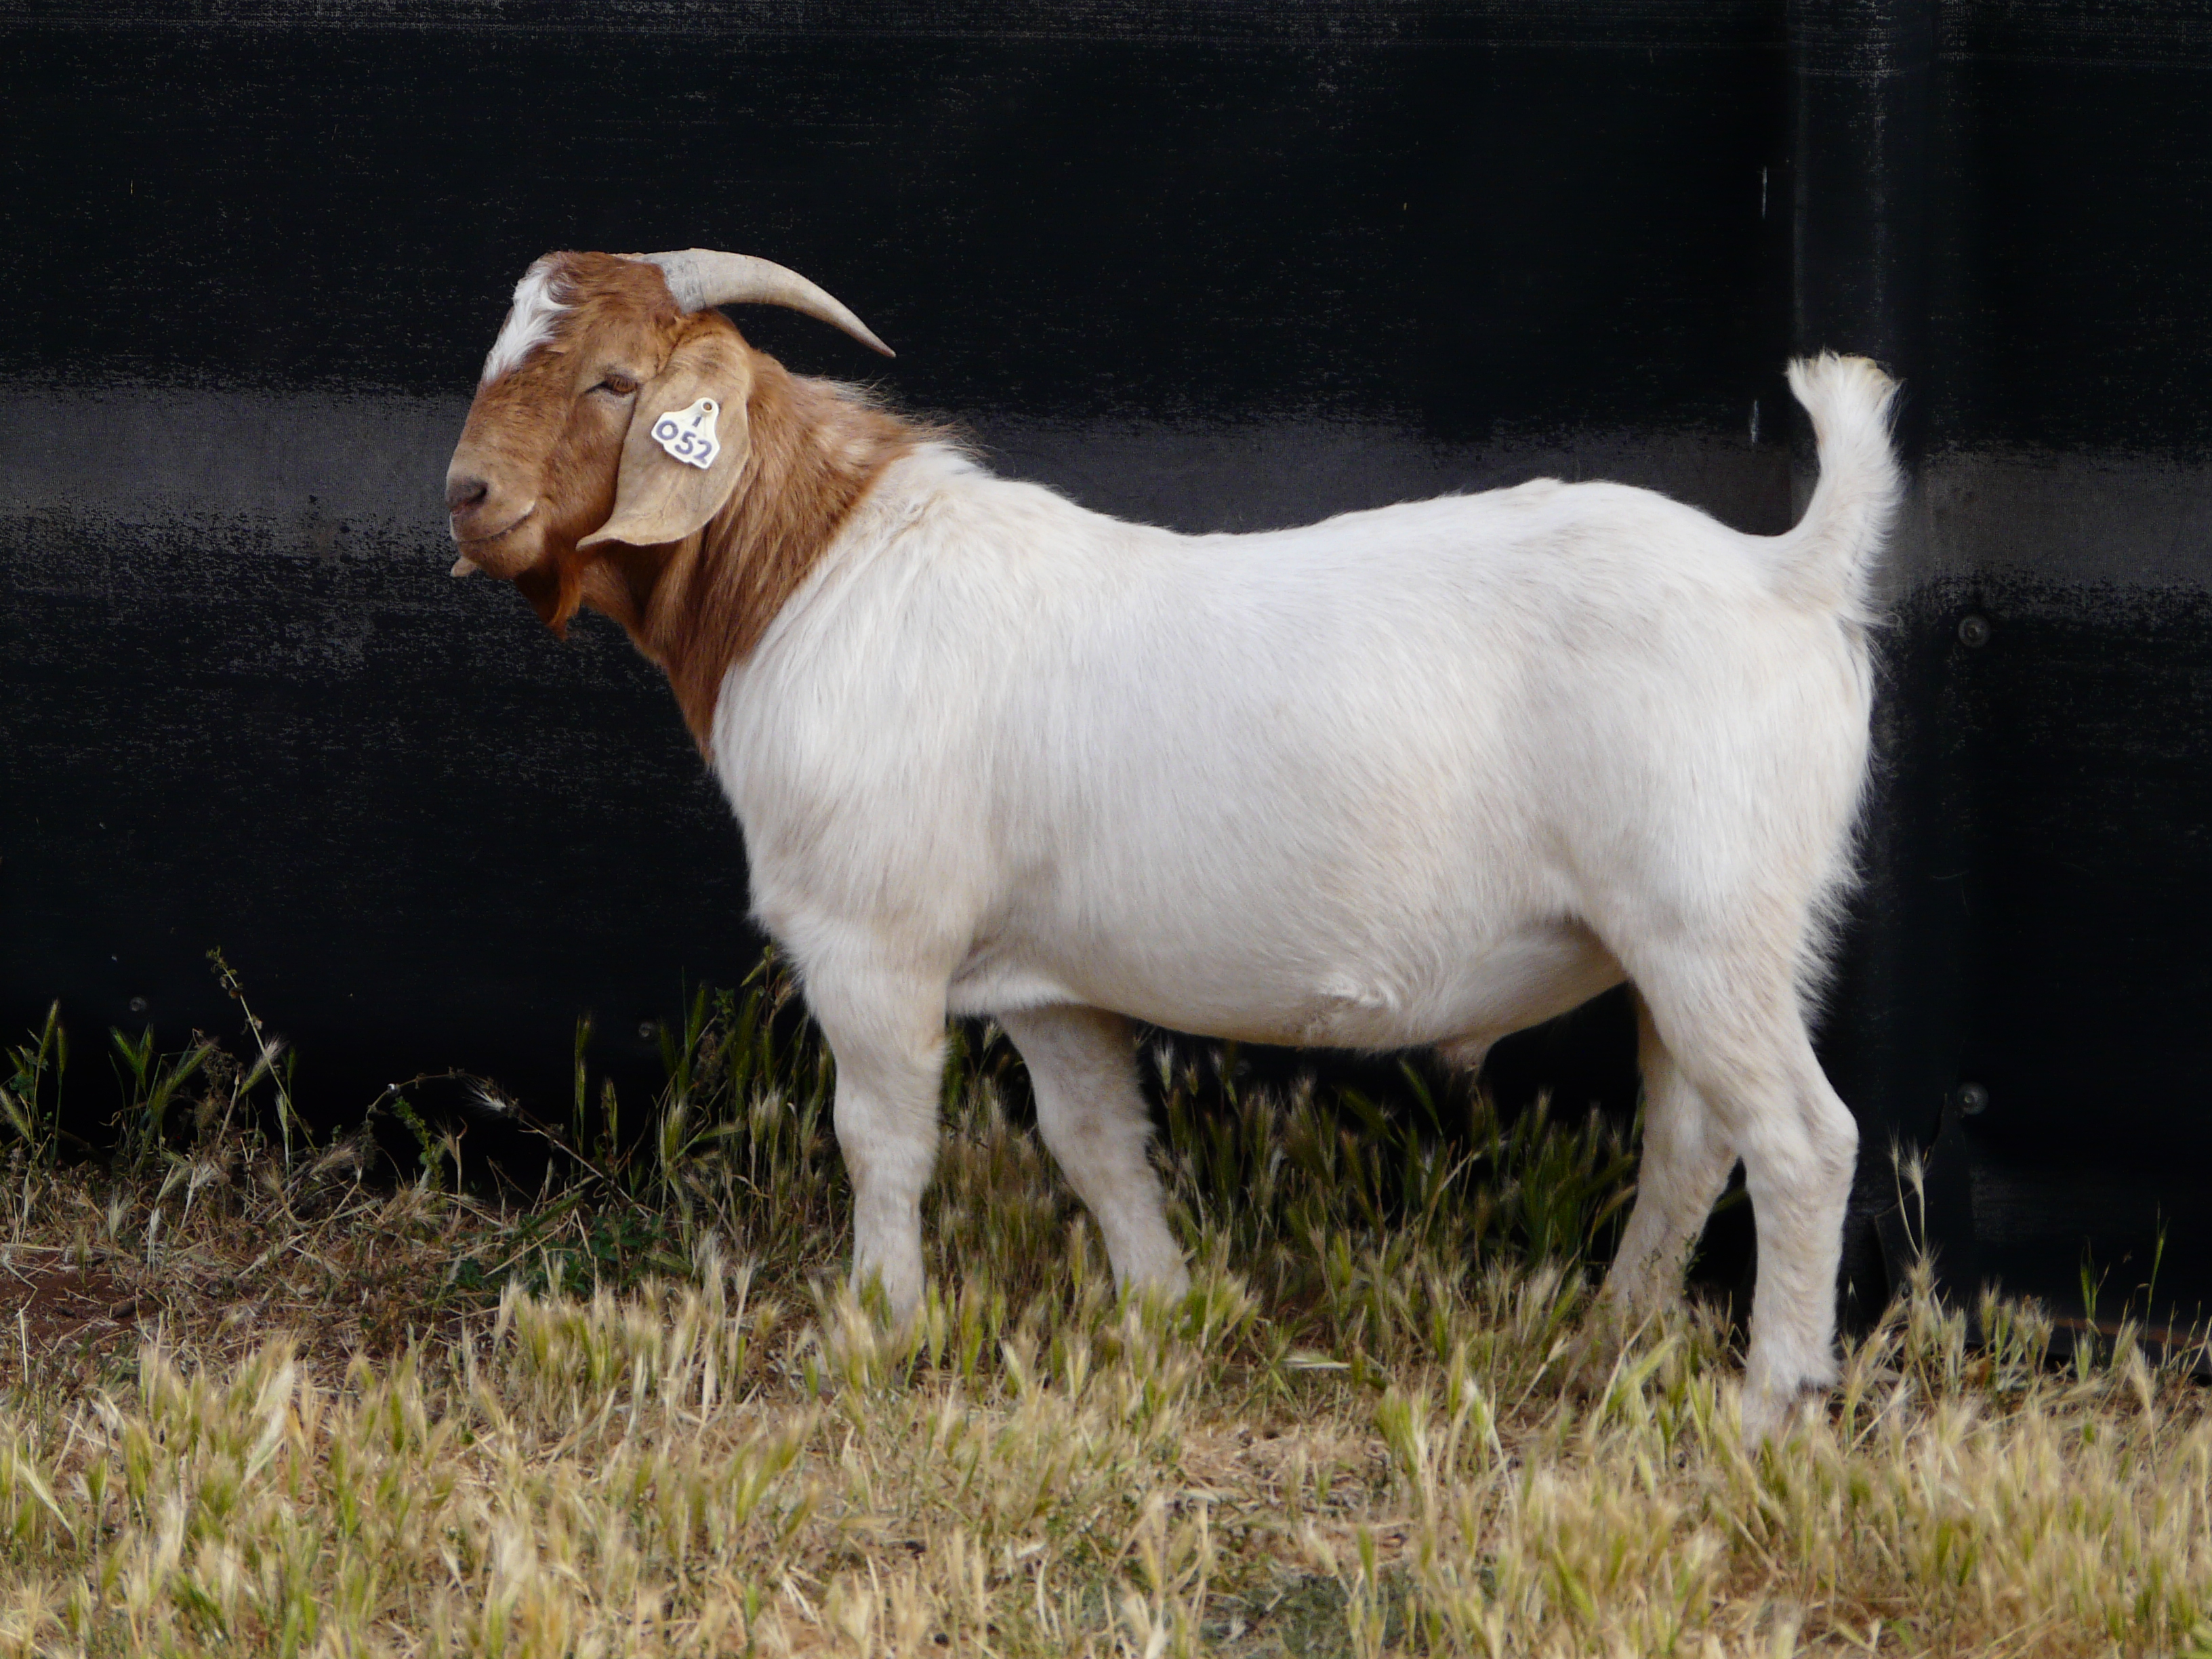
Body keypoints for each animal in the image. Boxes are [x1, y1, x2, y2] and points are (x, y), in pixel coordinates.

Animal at [440, 246, 1893, 1442]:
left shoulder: (871, 942)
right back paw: (1610, 1332)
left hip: (1707, 920)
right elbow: (1094, 1139)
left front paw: (876, 1331)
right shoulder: (1042, 979)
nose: (466, 496)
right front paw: (1170, 1310)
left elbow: (880, 1137)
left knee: (1800, 1138)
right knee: (1691, 1135)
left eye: (616, 380)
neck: (813, 572)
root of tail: (1781, 572)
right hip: (1696, 940)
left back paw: (1769, 1404)